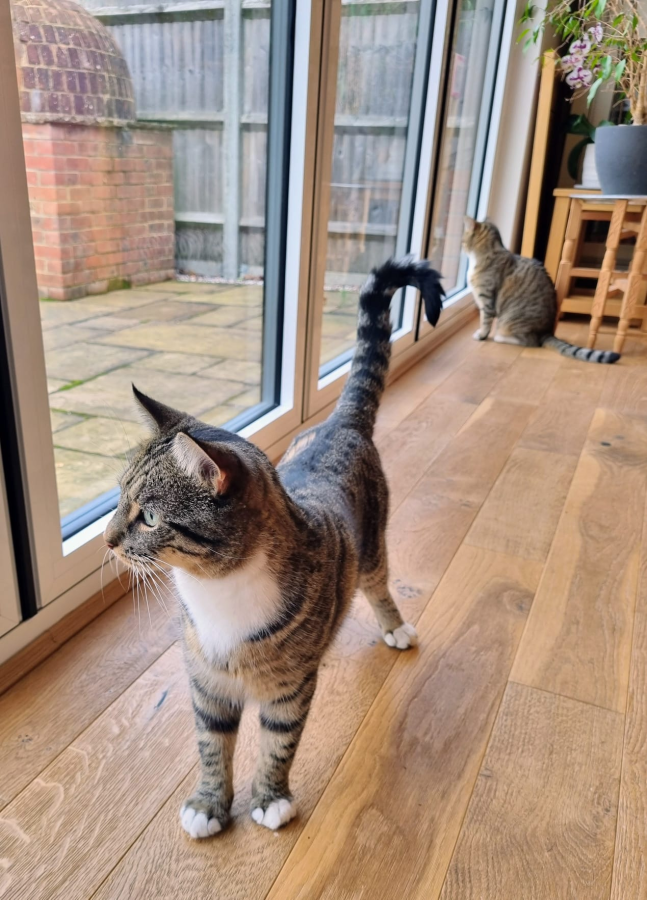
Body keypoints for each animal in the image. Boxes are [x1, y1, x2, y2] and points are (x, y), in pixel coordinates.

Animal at [104, 258, 444, 839]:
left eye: (148, 516)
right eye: (119, 495)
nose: (106, 541)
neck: (216, 589)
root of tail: (340, 423)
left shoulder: (291, 686)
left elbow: (280, 742)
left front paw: (271, 797)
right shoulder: (205, 680)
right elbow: (211, 744)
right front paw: (209, 804)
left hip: (373, 541)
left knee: (378, 581)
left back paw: (395, 626)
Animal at [463, 217, 620, 364]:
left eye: (463, 238)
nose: (461, 245)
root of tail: (546, 332)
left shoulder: (487, 300)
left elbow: (485, 322)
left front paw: (481, 335)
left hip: (509, 322)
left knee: (530, 342)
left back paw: (500, 337)